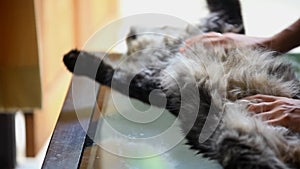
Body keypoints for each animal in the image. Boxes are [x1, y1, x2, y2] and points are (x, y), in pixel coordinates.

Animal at [62, 0, 300, 168]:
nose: (129, 35)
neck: (170, 47)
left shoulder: (224, 22)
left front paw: (72, 58)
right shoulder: (151, 82)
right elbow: (110, 73)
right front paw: (72, 58)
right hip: (234, 142)